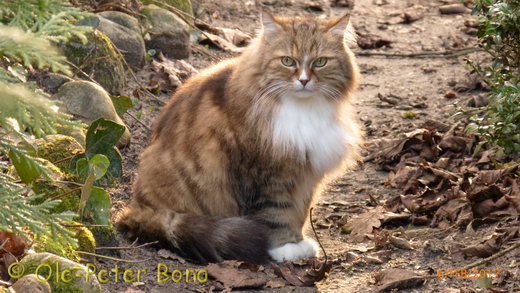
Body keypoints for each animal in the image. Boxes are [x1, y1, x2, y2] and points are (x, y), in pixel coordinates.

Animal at [117, 11, 362, 264]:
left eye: (320, 62)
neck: (303, 110)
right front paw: (284, 248)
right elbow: (277, 214)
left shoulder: (305, 172)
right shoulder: (269, 174)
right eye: (287, 61)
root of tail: (138, 208)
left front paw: (298, 241)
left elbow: (300, 212)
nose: (303, 81)